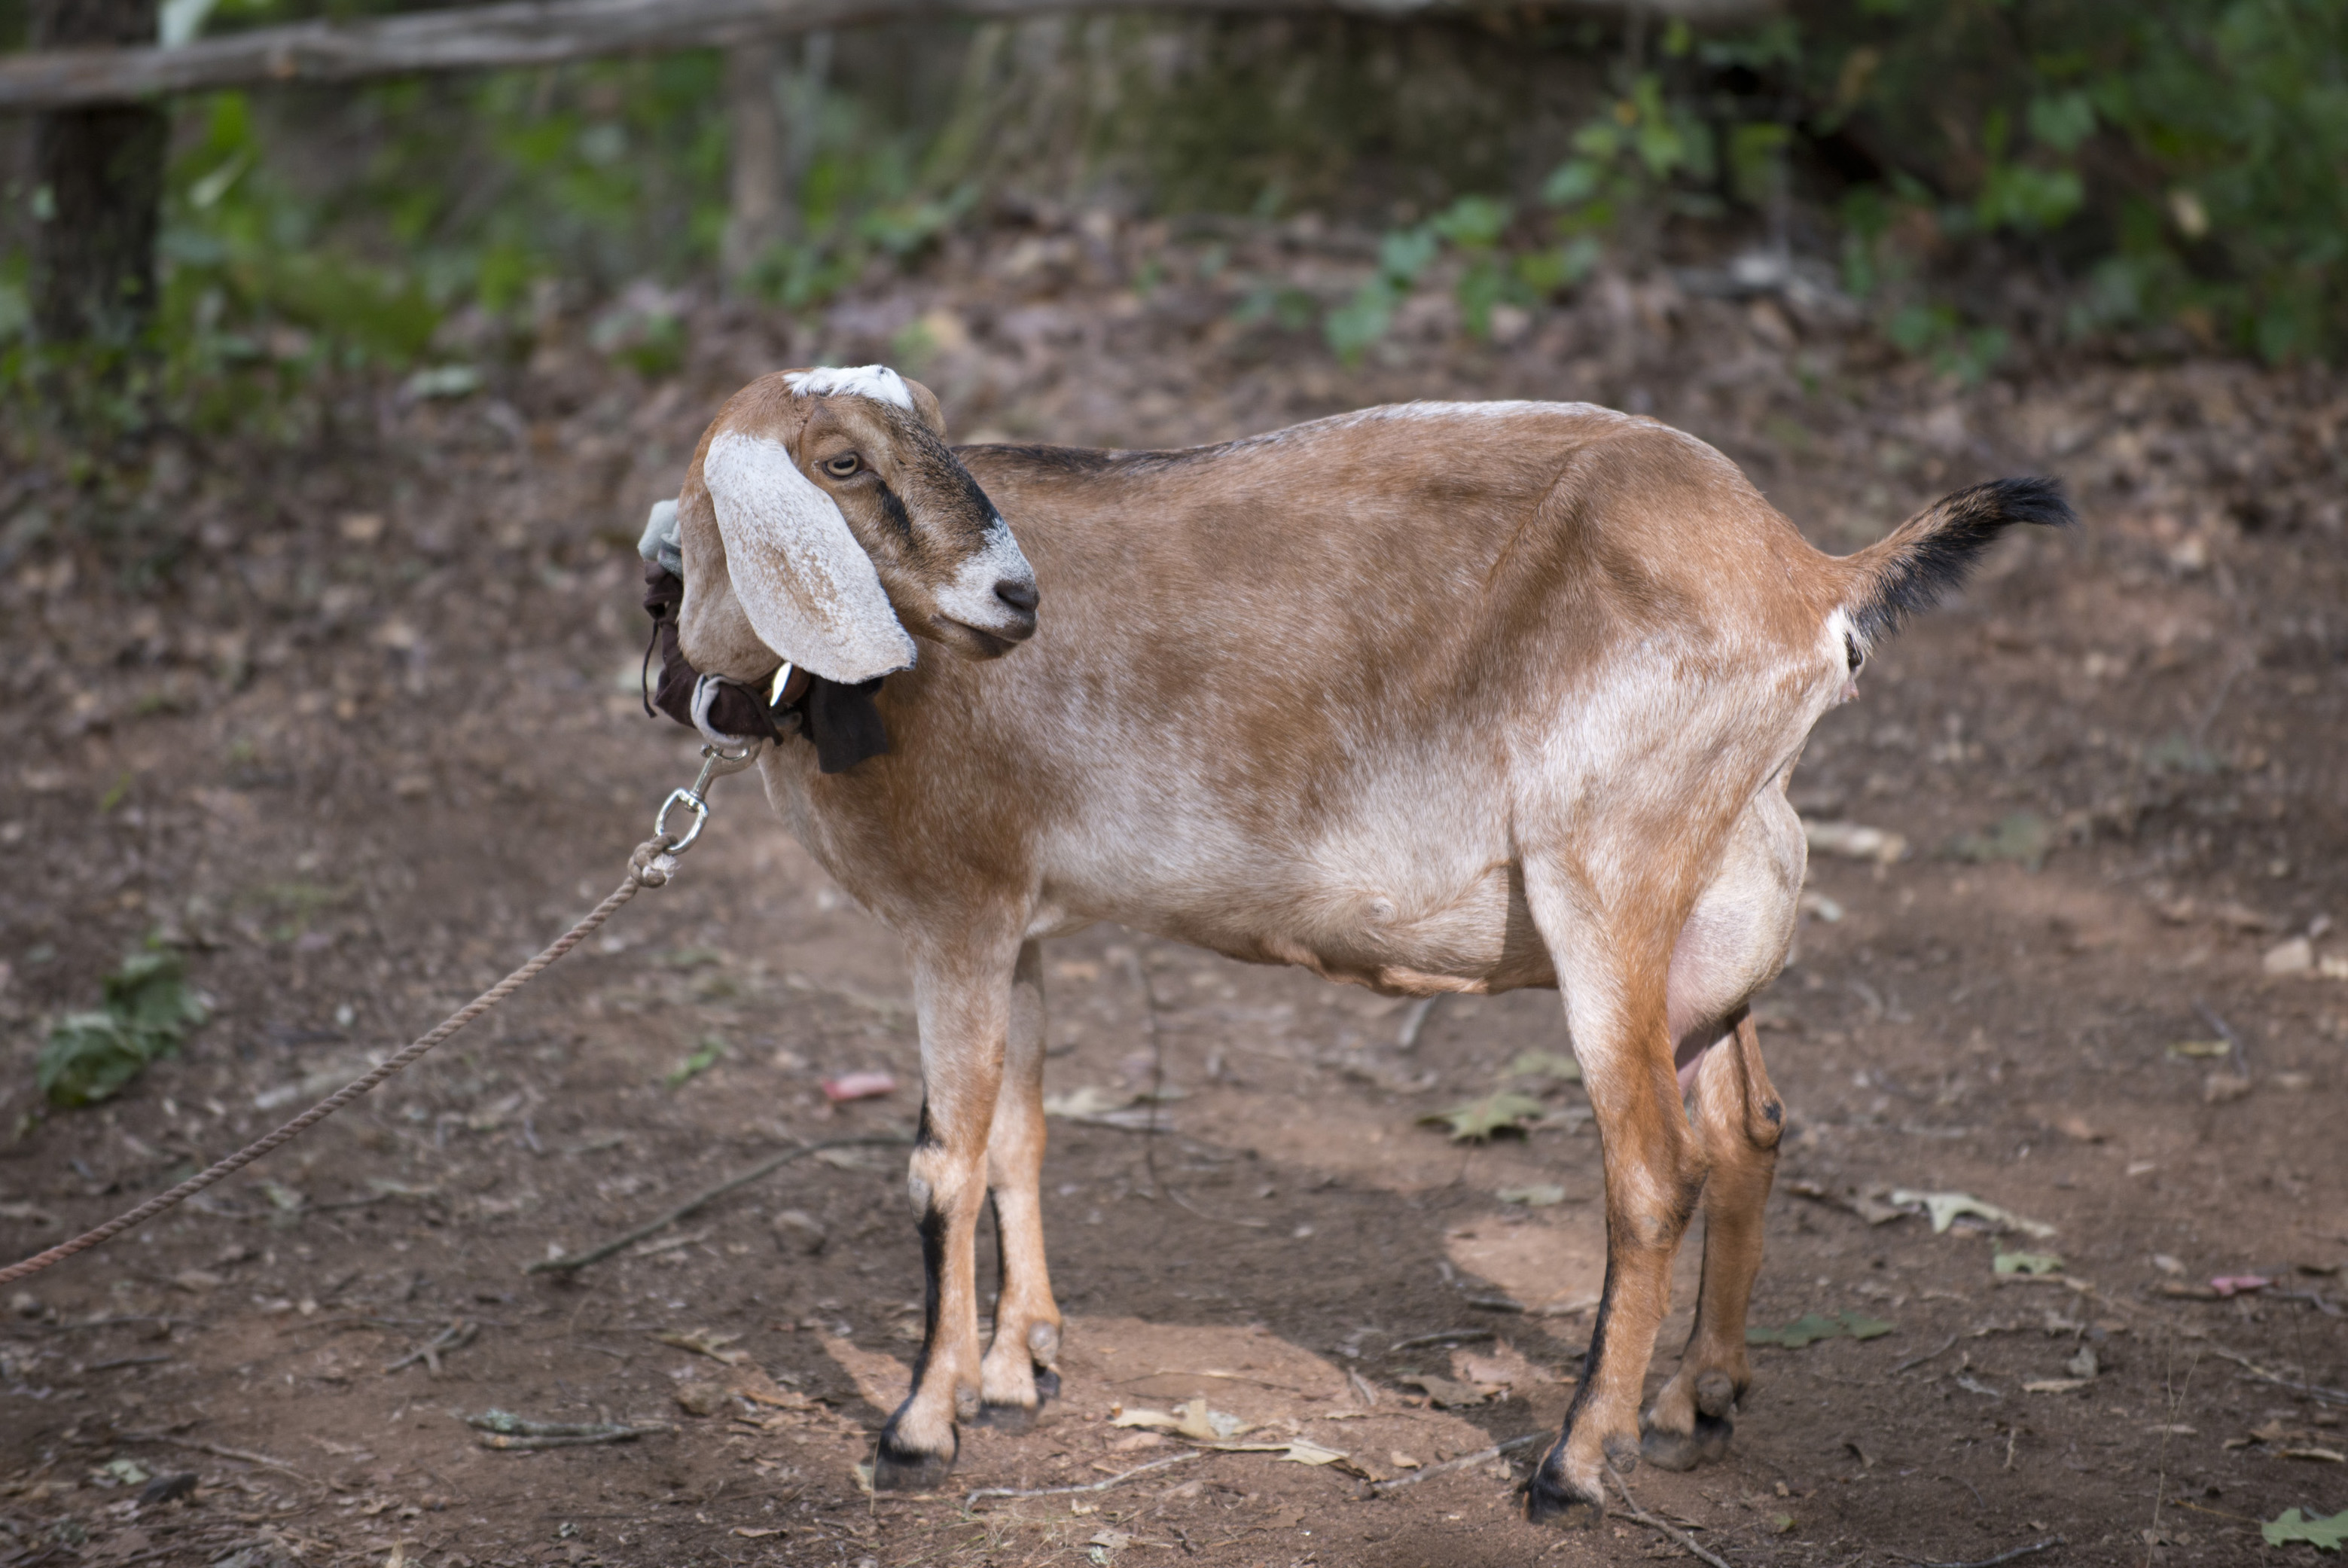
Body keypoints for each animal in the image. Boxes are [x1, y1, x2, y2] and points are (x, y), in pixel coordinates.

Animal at [666, 364, 2075, 1521]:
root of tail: (1812, 577)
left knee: (1652, 1168)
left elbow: (940, 1163)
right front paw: (1018, 1373)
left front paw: (919, 1424)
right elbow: (1019, 1132)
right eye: (844, 460)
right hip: (1713, 894)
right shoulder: (1015, 919)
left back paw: (1575, 1462)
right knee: (1747, 1127)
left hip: (1606, 875)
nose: (1014, 597)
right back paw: (1694, 1403)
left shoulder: (952, 912)